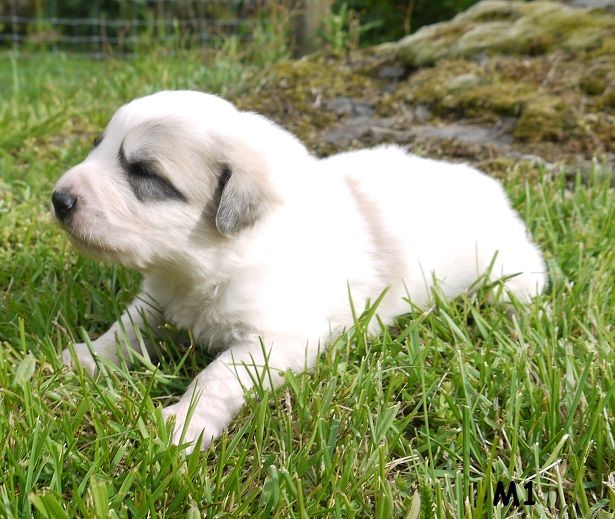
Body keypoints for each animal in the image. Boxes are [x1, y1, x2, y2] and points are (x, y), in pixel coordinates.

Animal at [50, 91, 548, 452]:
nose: (58, 199)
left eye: (144, 173)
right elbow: (126, 329)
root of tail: (489, 184)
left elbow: (216, 376)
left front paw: (181, 425)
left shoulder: (274, 339)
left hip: (505, 264)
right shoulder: (158, 297)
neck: (199, 265)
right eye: (98, 147)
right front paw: (82, 358)